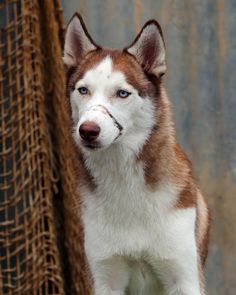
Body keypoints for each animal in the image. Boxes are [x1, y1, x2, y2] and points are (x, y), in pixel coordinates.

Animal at [63, 12, 210, 294]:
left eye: (122, 93)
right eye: (83, 90)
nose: (87, 130)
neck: (124, 180)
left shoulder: (183, 278)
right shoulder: (105, 278)